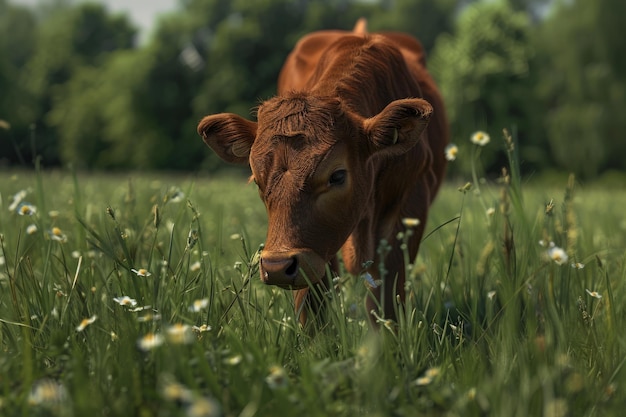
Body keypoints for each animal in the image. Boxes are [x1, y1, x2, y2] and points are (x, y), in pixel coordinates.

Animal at [197, 19, 446, 324]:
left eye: (337, 175)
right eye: (257, 180)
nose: (277, 265)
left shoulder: (411, 201)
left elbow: (386, 298)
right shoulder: (313, 250)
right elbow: (312, 303)